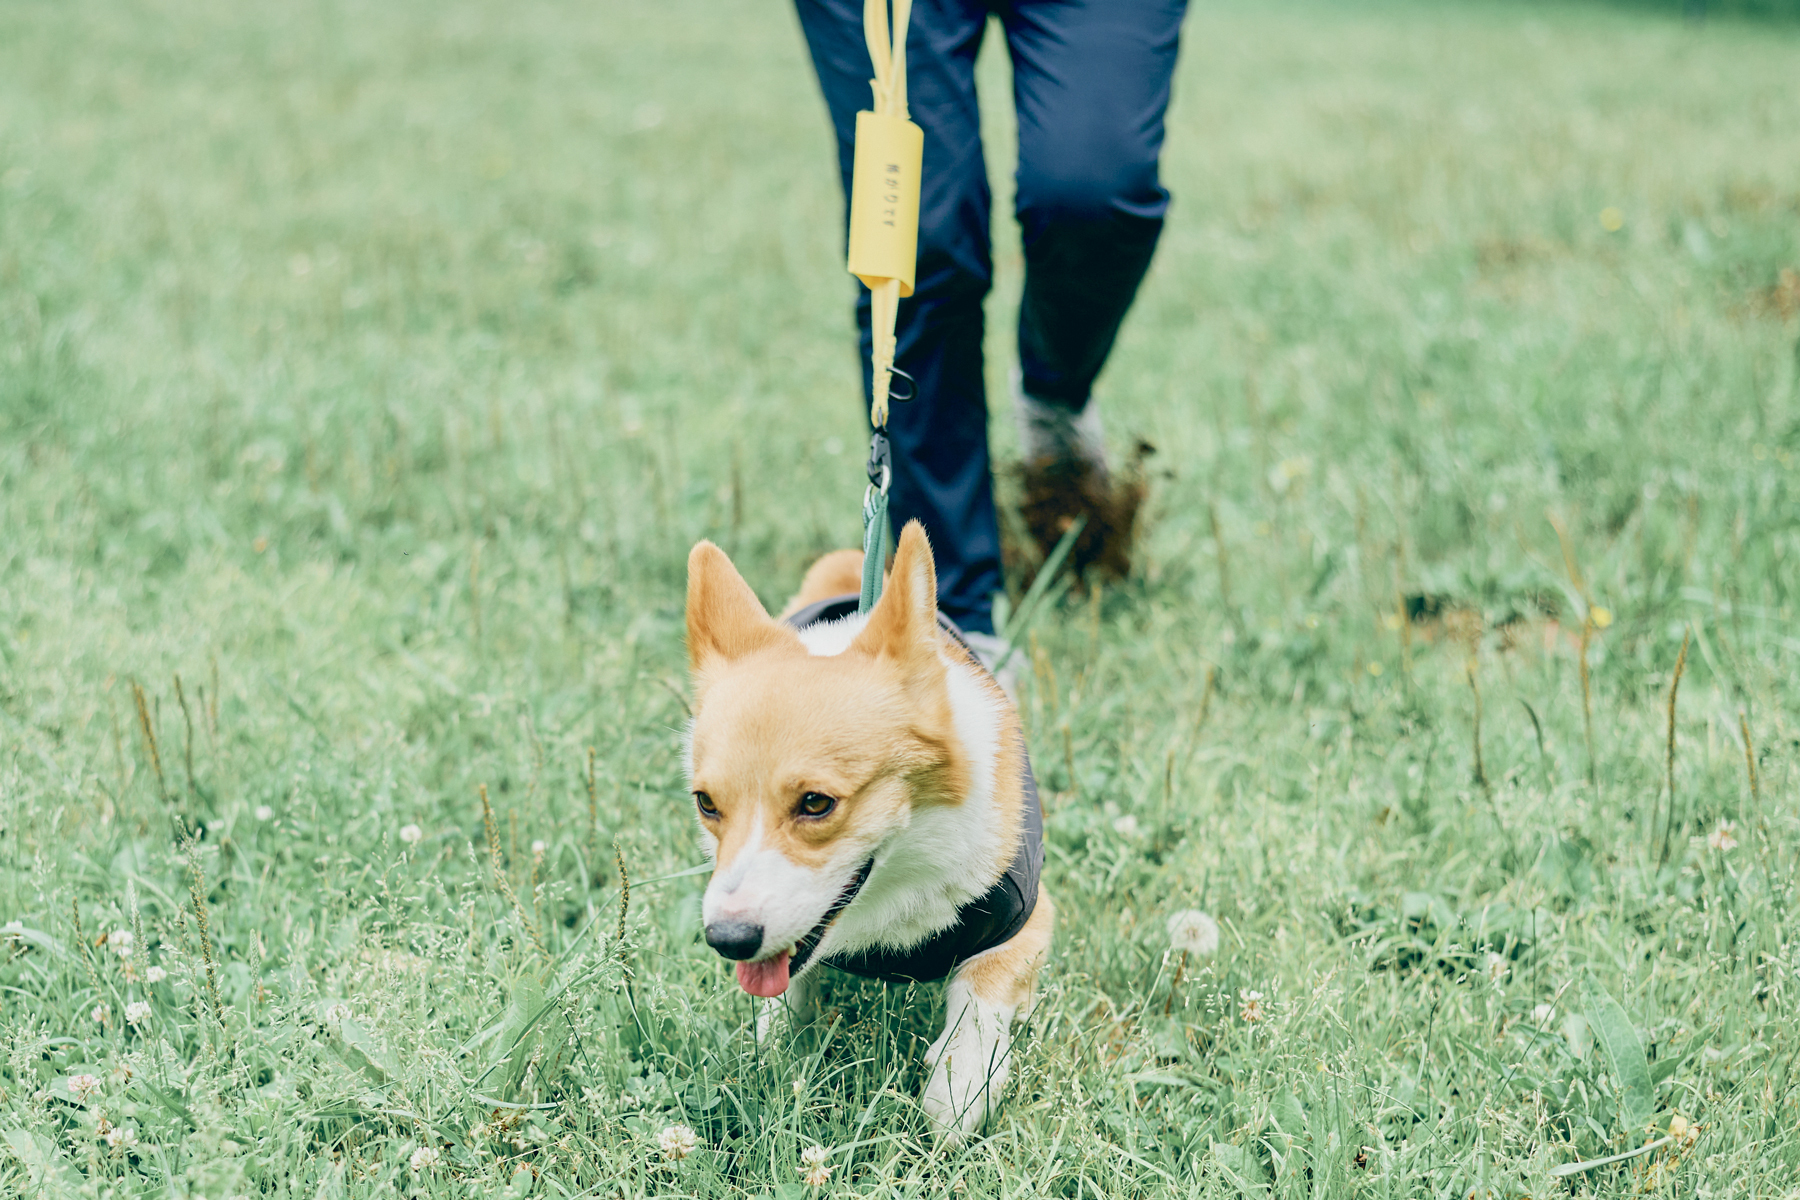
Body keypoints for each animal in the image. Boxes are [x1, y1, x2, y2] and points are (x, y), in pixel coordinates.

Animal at [684, 521, 1051, 1144]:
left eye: (816, 803)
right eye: (707, 803)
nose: (727, 940)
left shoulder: (1027, 917)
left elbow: (980, 997)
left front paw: (956, 1094)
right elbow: (784, 1001)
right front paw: (772, 1056)